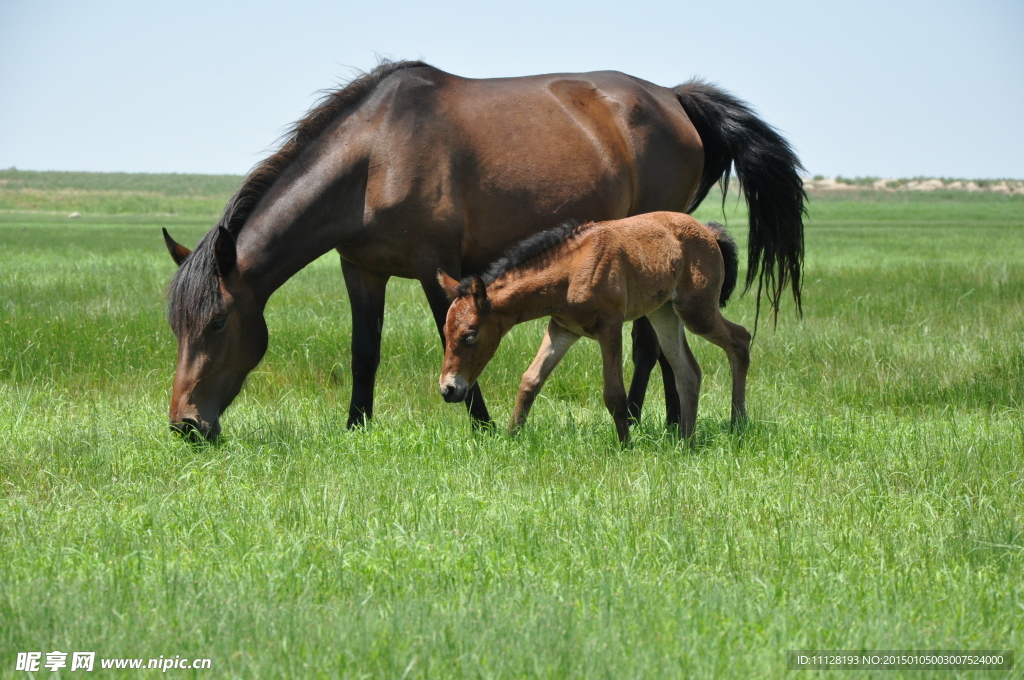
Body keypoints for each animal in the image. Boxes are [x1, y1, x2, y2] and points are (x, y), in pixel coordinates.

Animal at [436, 213, 749, 446]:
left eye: (470, 336)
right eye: (446, 333)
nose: (448, 389)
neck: (570, 271)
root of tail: (709, 231)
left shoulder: (610, 327)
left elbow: (614, 394)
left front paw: (626, 447)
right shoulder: (562, 330)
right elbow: (530, 381)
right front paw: (511, 438)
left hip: (696, 311)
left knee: (740, 340)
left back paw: (738, 425)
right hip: (664, 314)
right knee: (688, 372)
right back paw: (685, 442)